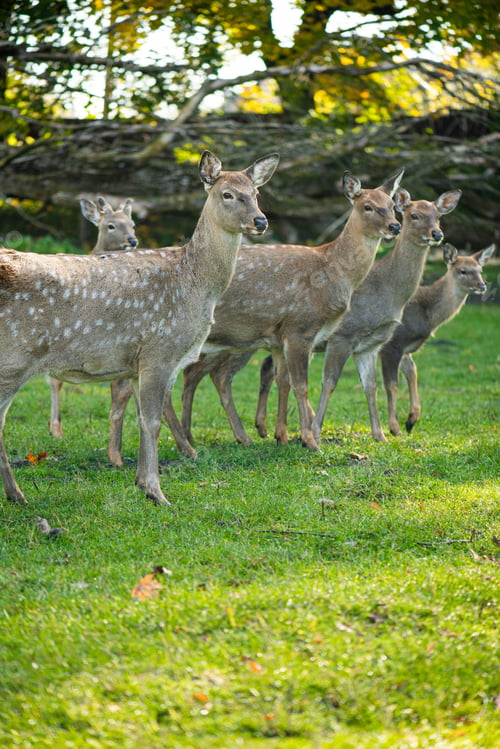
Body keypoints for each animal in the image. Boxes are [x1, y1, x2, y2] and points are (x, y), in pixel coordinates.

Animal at [143, 167, 403, 458]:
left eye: (392, 205)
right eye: (367, 206)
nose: (395, 226)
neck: (333, 271)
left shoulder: (280, 338)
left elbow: (283, 381)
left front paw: (284, 436)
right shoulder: (299, 327)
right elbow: (302, 385)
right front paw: (310, 439)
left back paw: (194, 439)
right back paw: (189, 444)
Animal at [380, 242, 495, 436]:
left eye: (480, 269)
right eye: (463, 271)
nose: (482, 286)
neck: (427, 315)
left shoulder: (405, 348)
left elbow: (413, 372)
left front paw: (411, 420)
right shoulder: (392, 343)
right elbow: (392, 384)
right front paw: (395, 428)